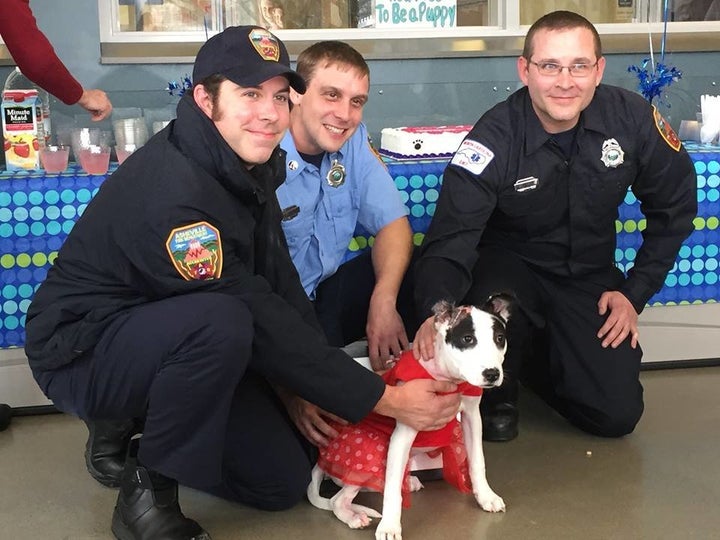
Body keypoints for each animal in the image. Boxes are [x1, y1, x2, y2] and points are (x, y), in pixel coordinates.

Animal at [306, 296, 510, 540]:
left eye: (499, 339)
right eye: (467, 339)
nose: (492, 374)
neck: (449, 378)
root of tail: (321, 461)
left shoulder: (472, 418)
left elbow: (478, 460)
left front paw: (486, 496)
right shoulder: (405, 430)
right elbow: (393, 490)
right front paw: (389, 527)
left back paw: (408, 481)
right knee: (338, 500)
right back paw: (355, 517)